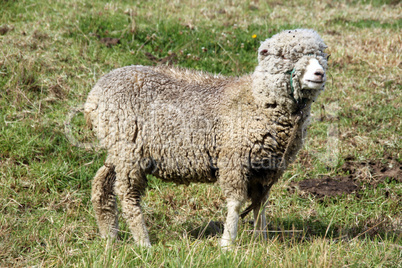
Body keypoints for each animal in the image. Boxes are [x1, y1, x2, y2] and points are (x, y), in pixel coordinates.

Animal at [84, 28, 326, 247]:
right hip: (128, 149)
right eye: (285, 56)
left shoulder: (267, 168)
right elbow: (236, 202)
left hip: (118, 149)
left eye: (323, 56)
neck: (257, 100)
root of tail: (94, 95)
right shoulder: (234, 160)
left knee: (101, 182)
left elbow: (260, 204)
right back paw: (143, 242)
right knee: (127, 194)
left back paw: (109, 235)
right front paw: (227, 243)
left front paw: (262, 240)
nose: (319, 74)